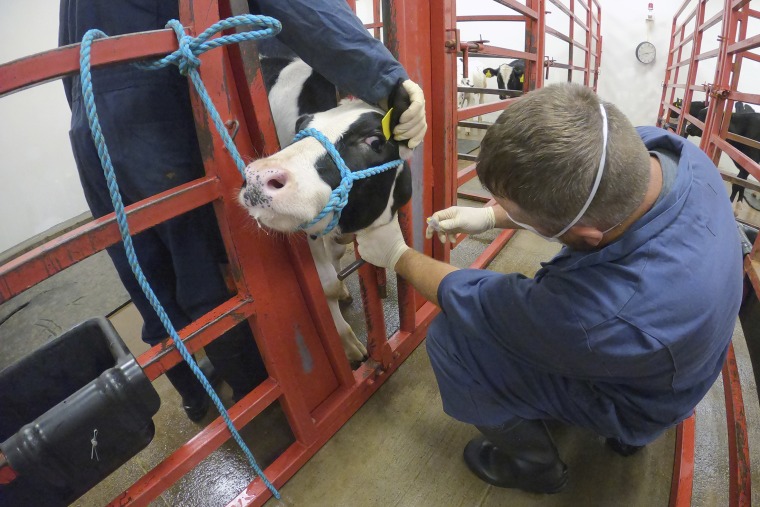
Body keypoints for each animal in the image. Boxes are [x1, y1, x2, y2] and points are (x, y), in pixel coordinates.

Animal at [239, 55, 412, 366]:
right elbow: (326, 285)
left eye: (375, 141)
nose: (257, 176)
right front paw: (347, 343)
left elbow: (337, 258)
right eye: (301, 129)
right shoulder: (310, 230)